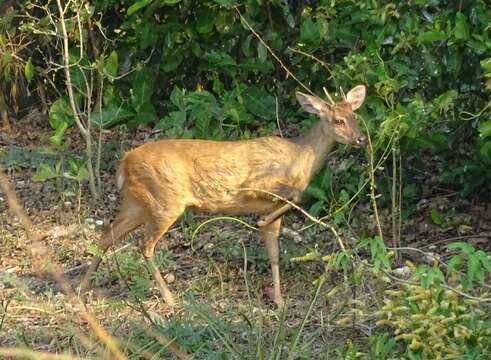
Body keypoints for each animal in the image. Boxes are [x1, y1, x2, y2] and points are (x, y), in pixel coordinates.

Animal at [79, 86, 368, 308]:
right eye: (338, 120)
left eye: (355, 116)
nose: (361, 139)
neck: (300, 158)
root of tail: (124, 162)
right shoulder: (256, 185)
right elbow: (295, 197)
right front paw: (259, 223)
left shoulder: (273, 207)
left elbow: (274, 254)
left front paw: (279, 300)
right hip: (165, 199)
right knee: (144, 244)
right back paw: (169, 298)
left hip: (138, 203)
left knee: (107, 234)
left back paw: (82, 287)